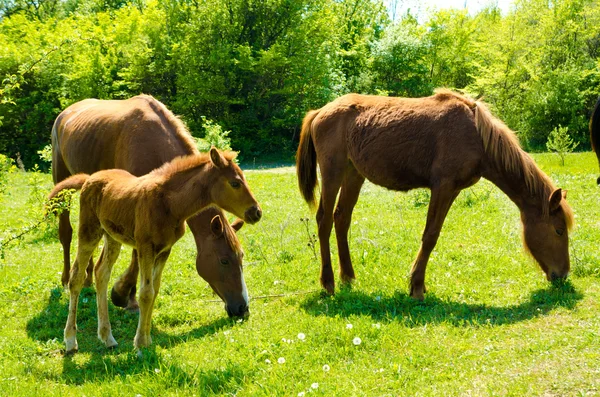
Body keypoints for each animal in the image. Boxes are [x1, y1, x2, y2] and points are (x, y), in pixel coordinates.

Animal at [48, 148, 260, 352]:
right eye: (235, 183)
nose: (256, 212)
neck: (170, 204)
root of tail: (89, 178)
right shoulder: (145, 248)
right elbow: (146, 293)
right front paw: (141, 344)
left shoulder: (164, 250)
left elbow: (155, 291)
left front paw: (147, 340)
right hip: (89, 231)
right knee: (77, 276)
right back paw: (70, 341)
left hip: (112, 237)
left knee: (102, 273)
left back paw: (108, 338)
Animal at [51, 94, 248, 314]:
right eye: (224, 260)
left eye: (241, 257)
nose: (242, 308)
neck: (152, 144)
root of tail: (64, 114)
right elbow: (137, 254)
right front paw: (122, 294)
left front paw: (127, 295)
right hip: (61, 184)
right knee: (66, 233)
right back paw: (67, 278)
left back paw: (87, 277)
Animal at [298, 89, 576, 298]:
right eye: (558, 230)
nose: (562, 275)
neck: (476, 136)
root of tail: (319, 112)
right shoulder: (443, 187)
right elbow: (430, 235)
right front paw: (417, 287)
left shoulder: (450, 190)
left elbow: (432, 234)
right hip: (333, 173)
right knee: (324, 220)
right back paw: (328, 282)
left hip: (354, 174)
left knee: (341, 218)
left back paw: (348, 277)